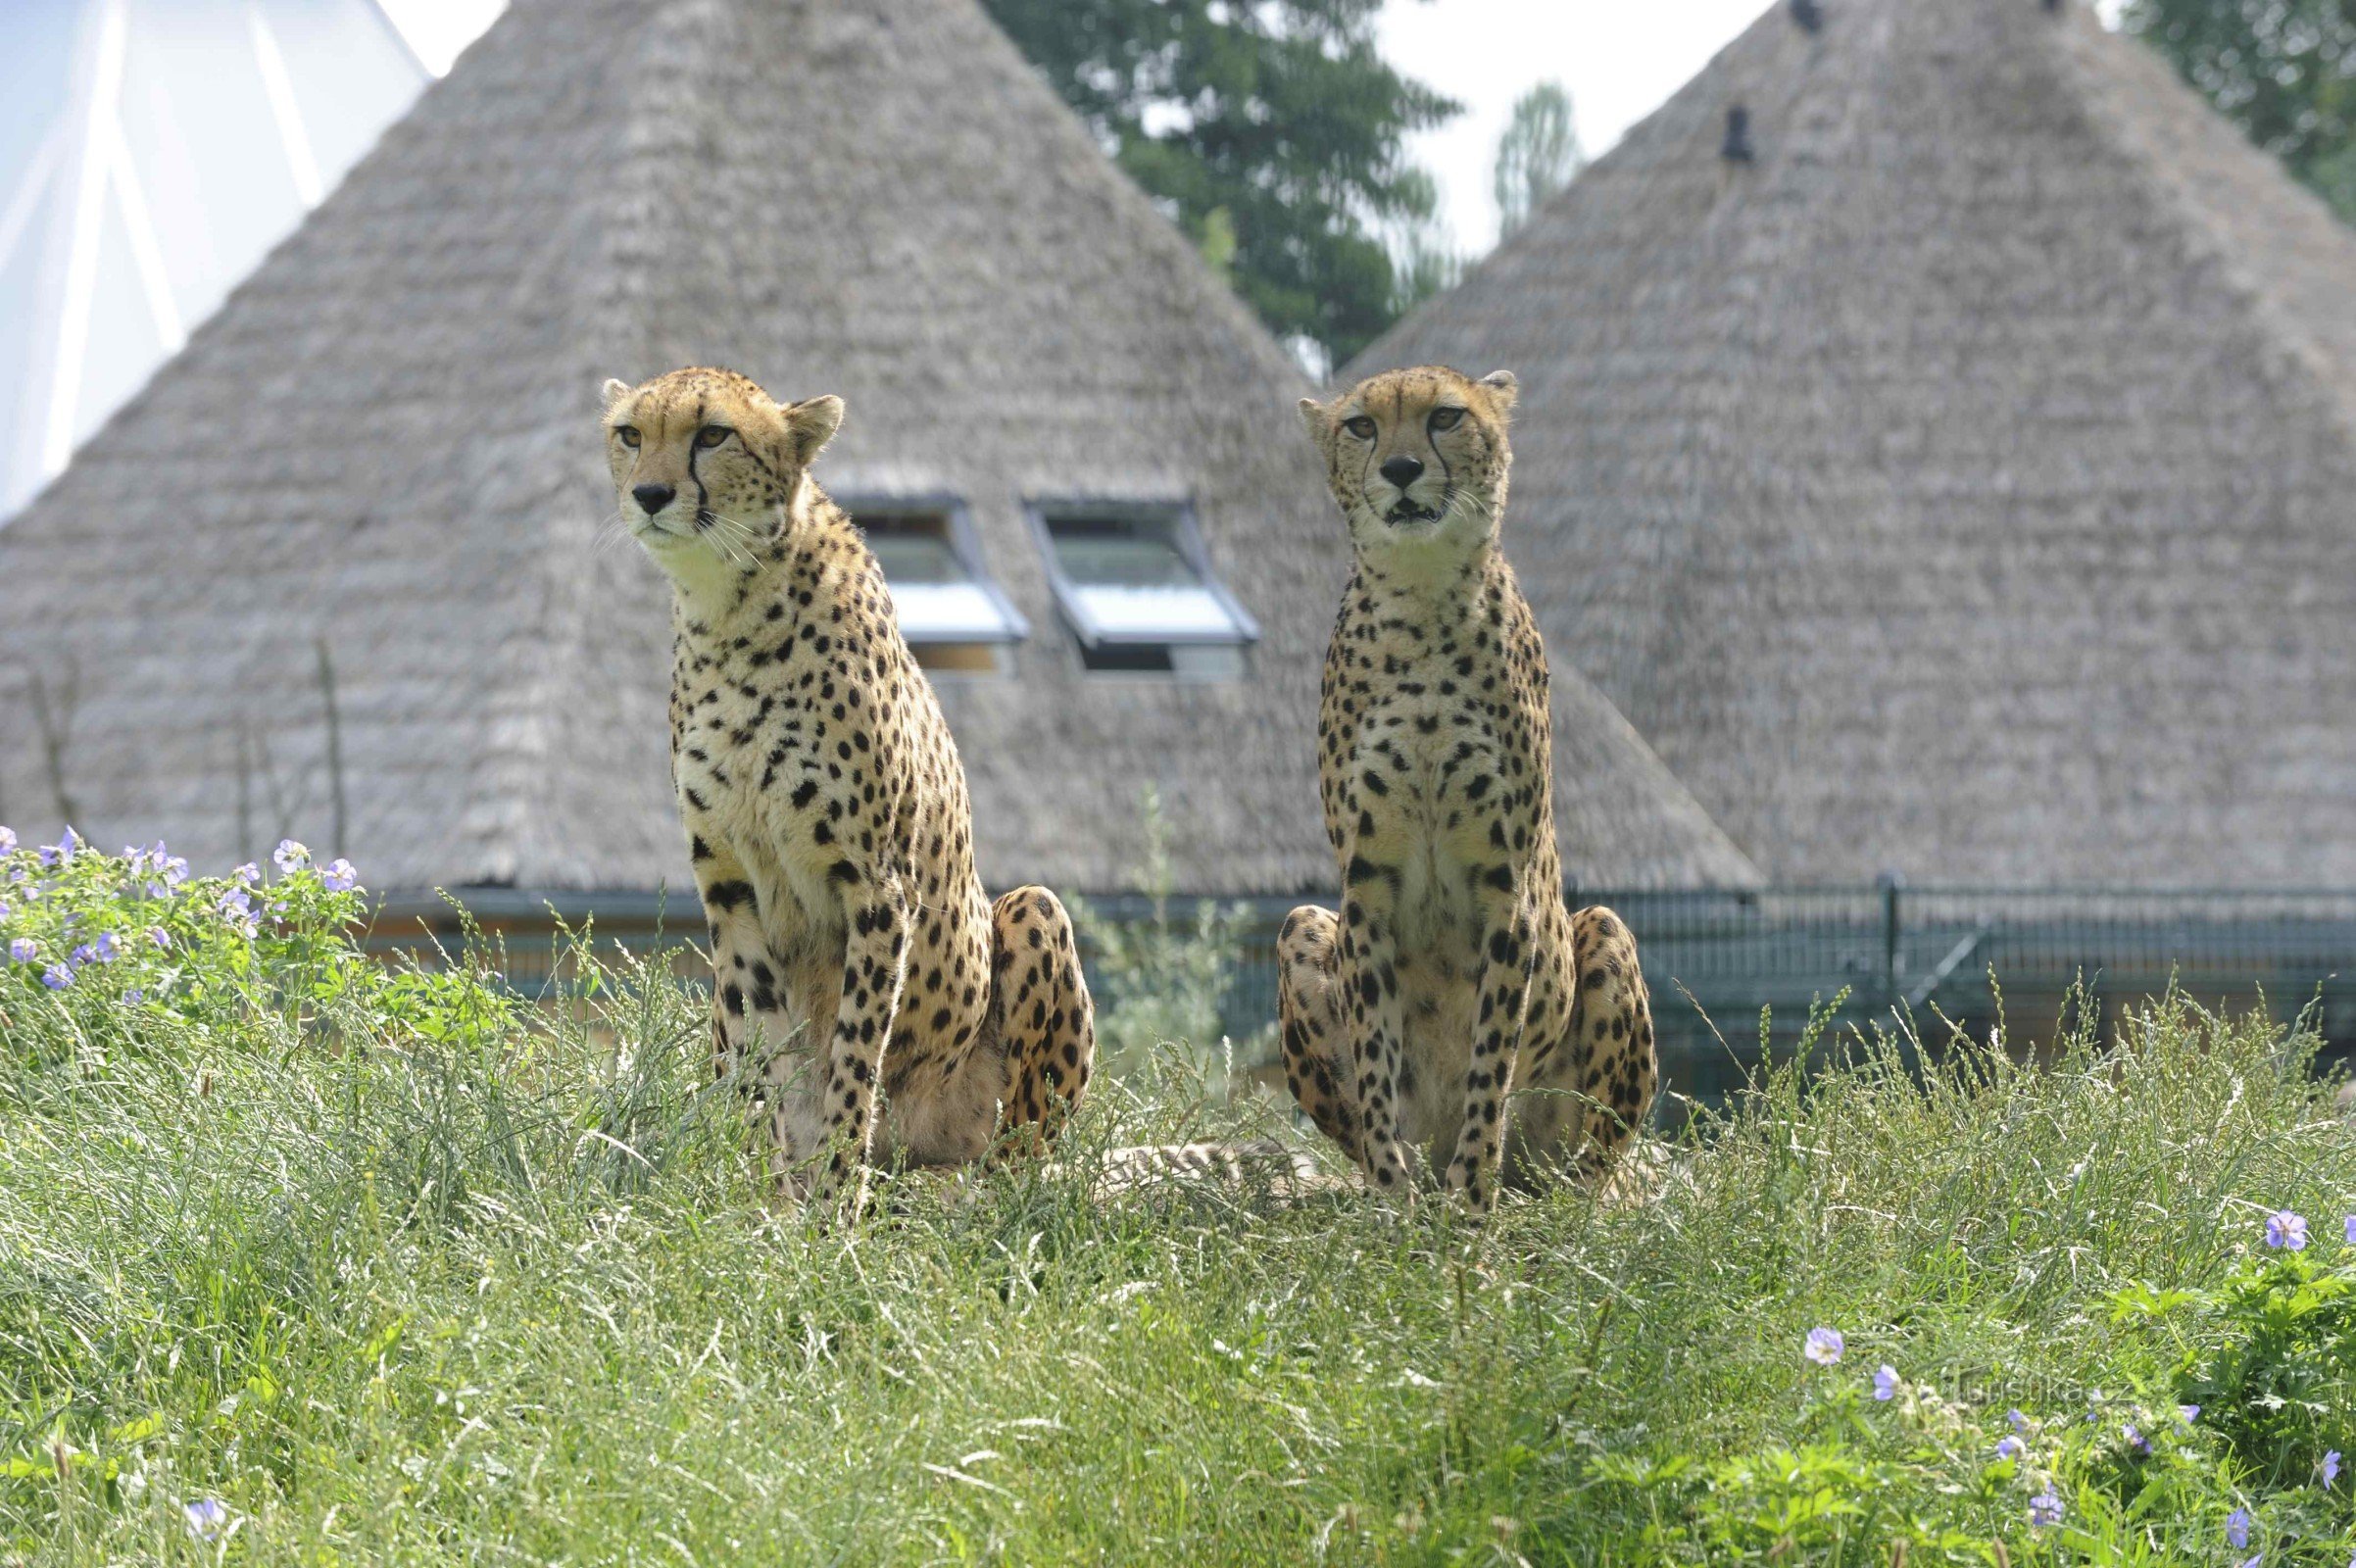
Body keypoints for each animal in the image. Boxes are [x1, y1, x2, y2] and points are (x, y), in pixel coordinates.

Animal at [598, 369, 1093, 1224]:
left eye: (713, 435)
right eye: (631, 433)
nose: (651, 494)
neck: (727, 607)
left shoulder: (875, 885)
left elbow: (855, 1050)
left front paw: (833, 1201)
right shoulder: (729, 884)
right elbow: (771, 1059)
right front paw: (774, 1196)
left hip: (1031, 919)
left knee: (1019, 1162)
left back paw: (956, 1187)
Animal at [1281, 362, 1648, 1205]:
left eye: (1446, 417)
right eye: (1361, 426)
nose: (1400, 468)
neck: (1421, 606)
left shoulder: (1503, 889)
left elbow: (1489, 1067)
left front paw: (1471, 1212)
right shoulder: (1367, 888)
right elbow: (1377, 1072)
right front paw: (1395, 1209)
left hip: (1607, 936)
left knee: (1585, 1169)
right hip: (1303, 927)